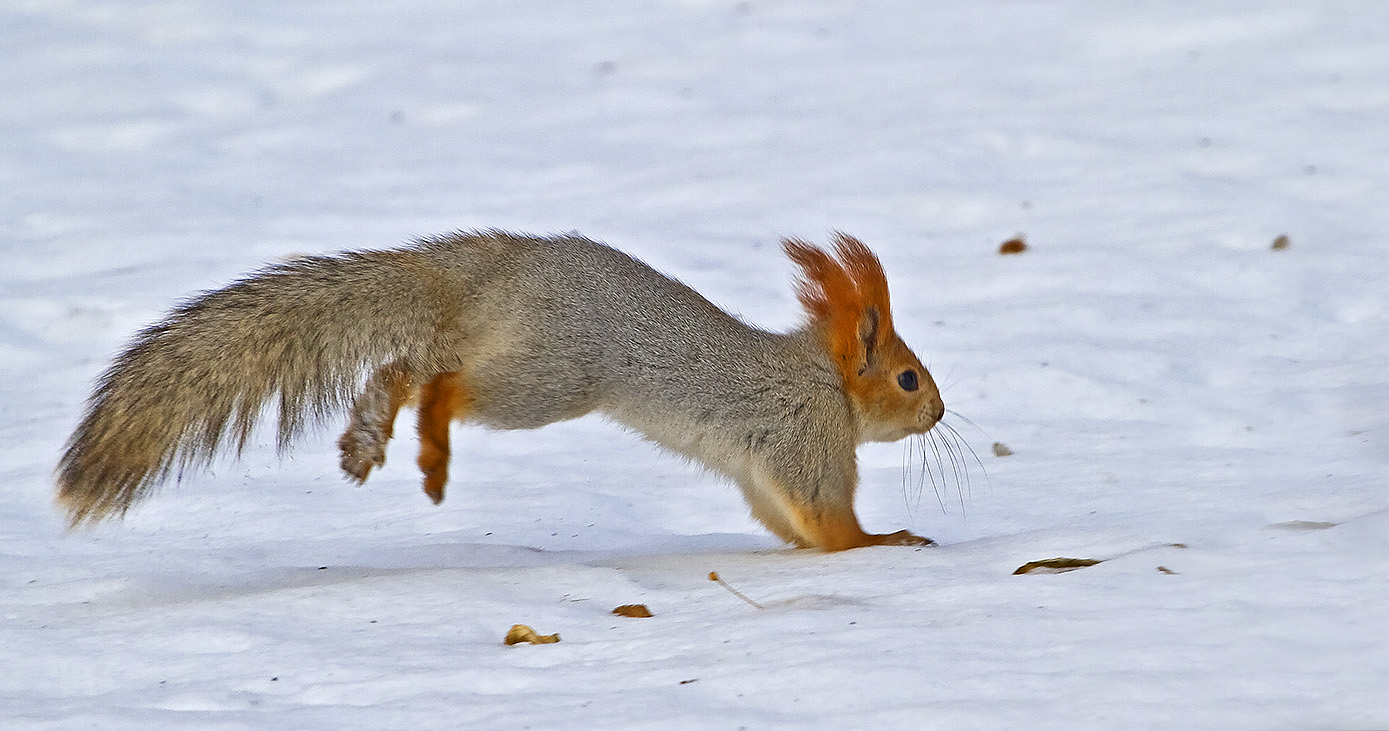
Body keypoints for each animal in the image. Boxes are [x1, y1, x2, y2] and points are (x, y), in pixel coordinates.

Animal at [54, 229, 944, 550]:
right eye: (907, 376)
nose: (937, 410)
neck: (824, 380)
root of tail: (492, 269)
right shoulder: (806, 436)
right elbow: (829, 520)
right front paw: (884, 543)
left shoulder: (762, 472)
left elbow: (785, 520)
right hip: (550, 374)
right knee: (439, 380)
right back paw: (430, 443)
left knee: (409, 367)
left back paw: (378, 429)